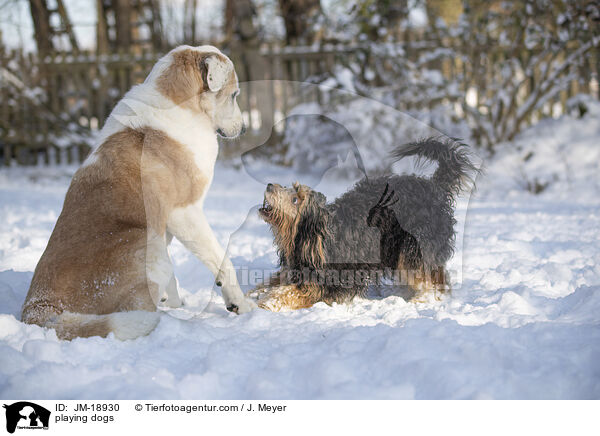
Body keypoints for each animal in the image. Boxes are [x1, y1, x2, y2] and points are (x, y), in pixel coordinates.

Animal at [20, 46, 255, 342]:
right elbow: (223, 261)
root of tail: (38, 307)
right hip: (149, 244)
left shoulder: (165, 221)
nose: (244, 128)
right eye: (234, 94)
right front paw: (241, 304)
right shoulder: (184, 212)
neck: (181, 105)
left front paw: (175, 300)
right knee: (142, 310)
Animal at [253, 137, 478, 310]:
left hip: (413, 247)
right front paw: (255, 293)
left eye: (295, 199)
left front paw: (266, 301)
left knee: (433, 281)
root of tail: (435, 186)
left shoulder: (328, 281)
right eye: (290, 188)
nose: (270, 185)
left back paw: (422, 298)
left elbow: (290, 293)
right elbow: (271, 283)